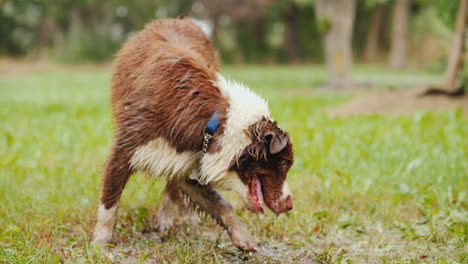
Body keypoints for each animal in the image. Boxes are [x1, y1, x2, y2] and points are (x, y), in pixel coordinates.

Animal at [93, 17, 294, 251]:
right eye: (283, 164)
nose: (290, 205)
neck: (214, 123)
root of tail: (177, 19)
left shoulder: (189, 161)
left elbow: (221, 204)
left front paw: (243, 237)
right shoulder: (125, 150)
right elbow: (109, 203)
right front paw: (99, 244)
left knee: (172, 187)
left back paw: (176, 217)